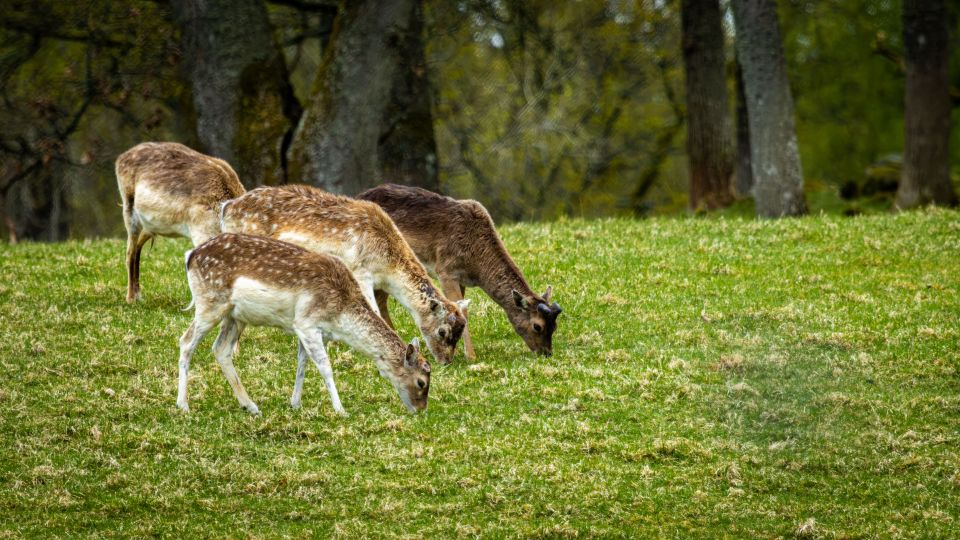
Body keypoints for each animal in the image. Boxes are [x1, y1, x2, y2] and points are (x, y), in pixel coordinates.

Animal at [116, 142, 246, 303]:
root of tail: (121, 158)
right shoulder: (201, 231)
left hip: (149, 226)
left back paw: (138, 295)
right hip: (129, 210)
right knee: (130, 252)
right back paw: (131, 298)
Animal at [179, 233, 431, 416]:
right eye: (421, 382)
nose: (421, 410)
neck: (340, 314)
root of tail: (191, 255)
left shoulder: (312, 330)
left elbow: (303, 363)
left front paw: (295, 403)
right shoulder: (306, 322)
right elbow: (325, 366)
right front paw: (340, 410)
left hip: (235, 316)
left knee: (221, 349)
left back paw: (250, 406)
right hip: (210, 303)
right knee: (186, 341)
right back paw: (183, 405)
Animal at [219, 184, 469, 365]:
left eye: (459, 332)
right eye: (443, 331)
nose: (446, 361)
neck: (387, 266)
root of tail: (227, 207)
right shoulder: (360, 271)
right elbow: (373, 310)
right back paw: (235, 351)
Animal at [358, 183, 562, 359]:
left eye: (554, 326)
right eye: (537, 326)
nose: (546, 353)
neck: (476, 265)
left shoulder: (461, 279)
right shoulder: (446, 271)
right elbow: (461, 312)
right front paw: (470, 356)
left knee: (380, 298)